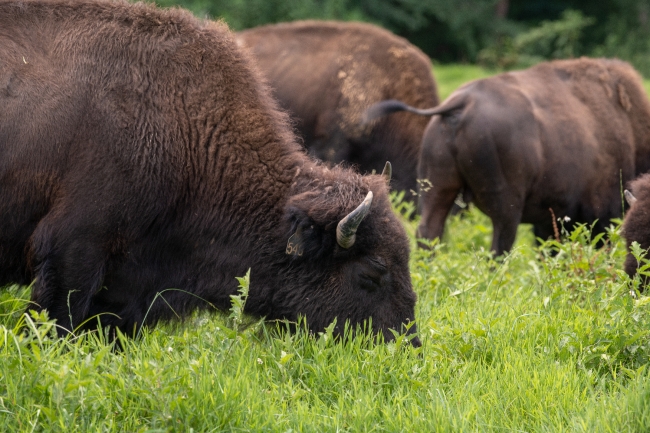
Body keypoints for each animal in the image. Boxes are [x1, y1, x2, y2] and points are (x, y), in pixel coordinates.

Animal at [364, 56, 650, 253]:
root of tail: (460, 103)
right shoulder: (601, 213)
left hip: (437, 188)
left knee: (429, 232)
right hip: (507, 206)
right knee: (498, 246)